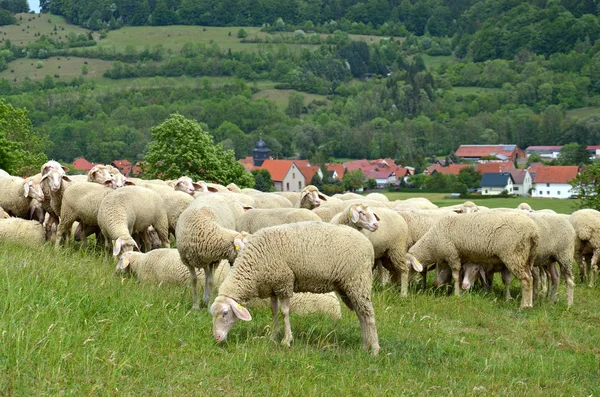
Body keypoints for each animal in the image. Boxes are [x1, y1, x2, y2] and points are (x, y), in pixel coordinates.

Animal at [211, 221, 380, 354]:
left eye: (225, 313)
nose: (217, 338)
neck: (253, 268)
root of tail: (368, 245)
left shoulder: (284, 282)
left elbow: (284, 312)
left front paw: (287, 340)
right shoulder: (273, 286)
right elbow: (274, 311)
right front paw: (273, 336)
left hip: (358, 280)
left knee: (369, 314)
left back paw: (375, 349)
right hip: (348, 287)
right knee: (361, 314)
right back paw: (365, 346)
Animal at [408, 210, 540, 310]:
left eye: (408, 267)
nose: (405, 283)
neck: (432, 242)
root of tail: (533, 232)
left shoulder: (453, 255)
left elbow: (456, 276)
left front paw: (456, 295)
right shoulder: (457, 258)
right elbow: (460, 276)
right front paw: (459, 290)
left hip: (514, 254)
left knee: (526, 280)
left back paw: (525, 306)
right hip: (526, 257)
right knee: (531, 277)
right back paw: (530, 302)